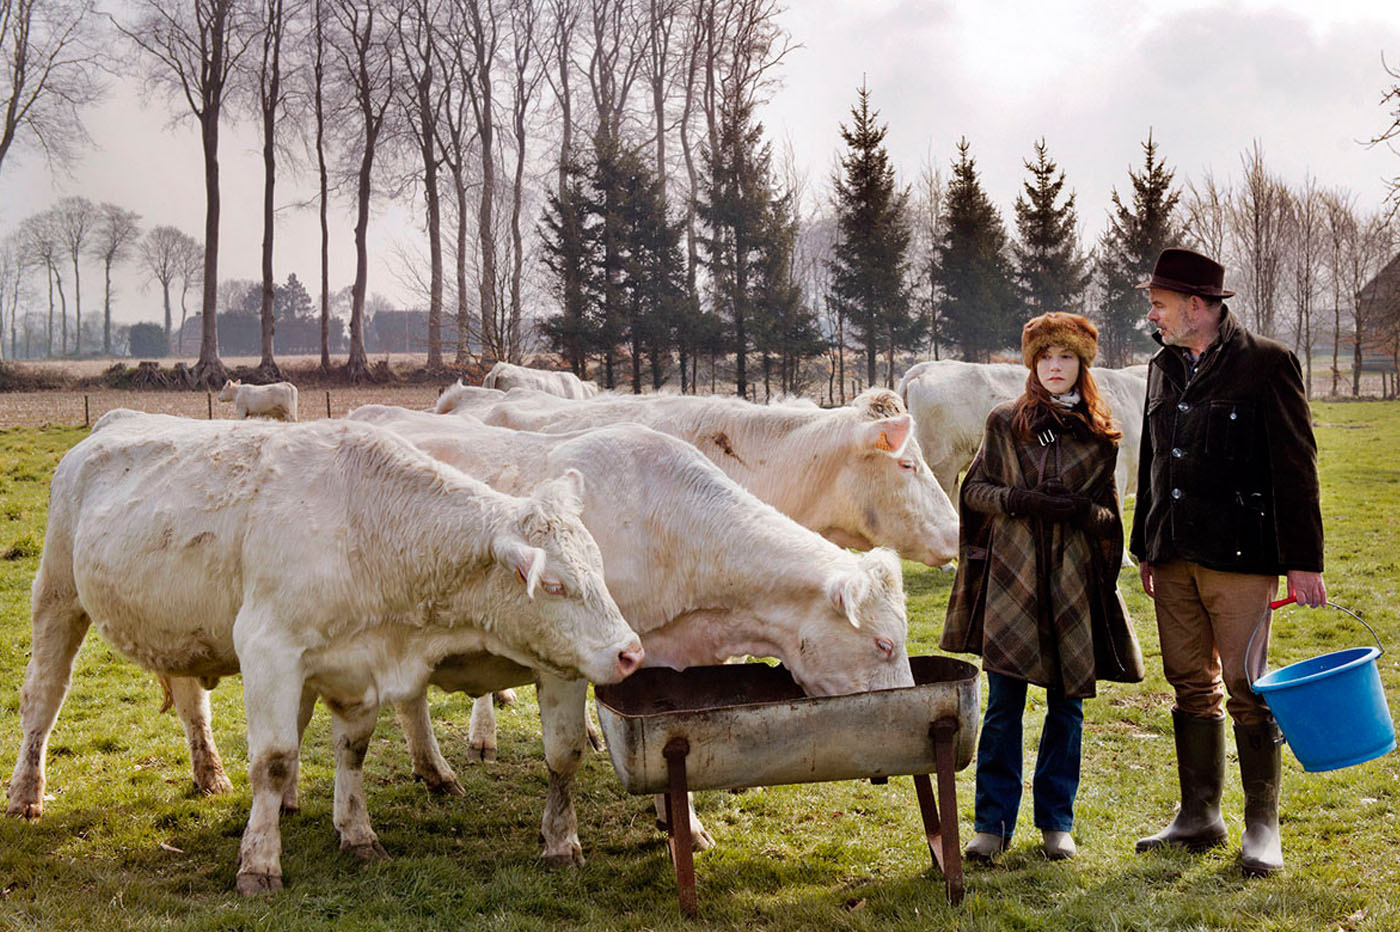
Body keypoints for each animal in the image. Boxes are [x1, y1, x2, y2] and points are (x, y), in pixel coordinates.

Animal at [4, 411, 641, 890]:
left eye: (599, 565)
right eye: (553, 585)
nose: (630, 652)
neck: (367, 530)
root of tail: (114, 420)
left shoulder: (356, 665)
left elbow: (351, 752)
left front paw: (357, 835)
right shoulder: (268, 648)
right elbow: (274, 758)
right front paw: (259, 863)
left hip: (172, 624)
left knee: (189, 700)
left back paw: (210, 774)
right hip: (57, 595)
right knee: (44, 697)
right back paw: (26, 795)